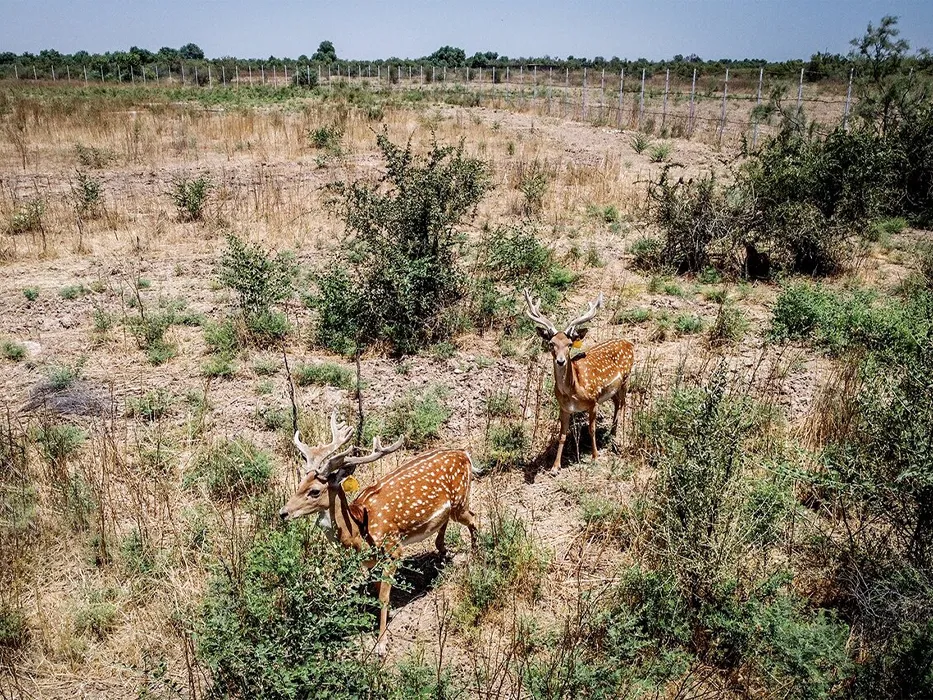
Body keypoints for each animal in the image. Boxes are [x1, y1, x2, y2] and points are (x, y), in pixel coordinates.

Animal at [280, 412, 476, 652]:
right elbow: (375, 590)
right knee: (444, 528)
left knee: (474, 519)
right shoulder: (372, 562)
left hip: (461, 501)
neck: (358, 533)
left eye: (315, 491)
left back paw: (476, 559)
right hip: (449, 509)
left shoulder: (394, 550)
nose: (283, 513)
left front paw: (381, 644)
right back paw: (443, 554)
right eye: (300, 482)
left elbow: (383, 596)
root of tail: (465, 454)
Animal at [524, 288, 632, 474]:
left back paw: (618, 437)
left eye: (569, 344)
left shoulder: (593, 400)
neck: (573, 390)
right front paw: (555, 466)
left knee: (623, 404)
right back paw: (612, 433)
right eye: (551, 343)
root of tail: (630, 343)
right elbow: (562, 436)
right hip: (612, 390)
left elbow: (591, 429)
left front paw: (595, 457)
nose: (561, 361)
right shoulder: (564, 408)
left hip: (626, 379)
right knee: (618, 403)